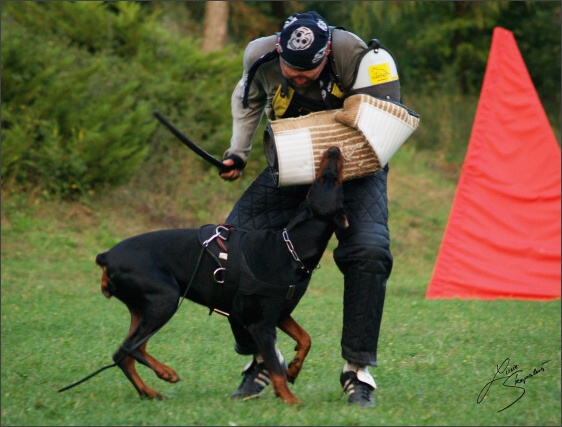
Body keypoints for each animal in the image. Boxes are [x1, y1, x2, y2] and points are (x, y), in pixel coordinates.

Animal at [94, 146, 348, 404]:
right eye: (324, 180)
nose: (334, 149)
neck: (291, 247)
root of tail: (106, 256)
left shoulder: (281, 314)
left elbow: (306, 338)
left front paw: (295, 368)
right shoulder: (261, 325)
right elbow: (275, 367)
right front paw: (290, 400)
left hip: (143, 308)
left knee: (124, 354)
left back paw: (148, 391)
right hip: (164, 300)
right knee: (129, 348)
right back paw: (166, 372)